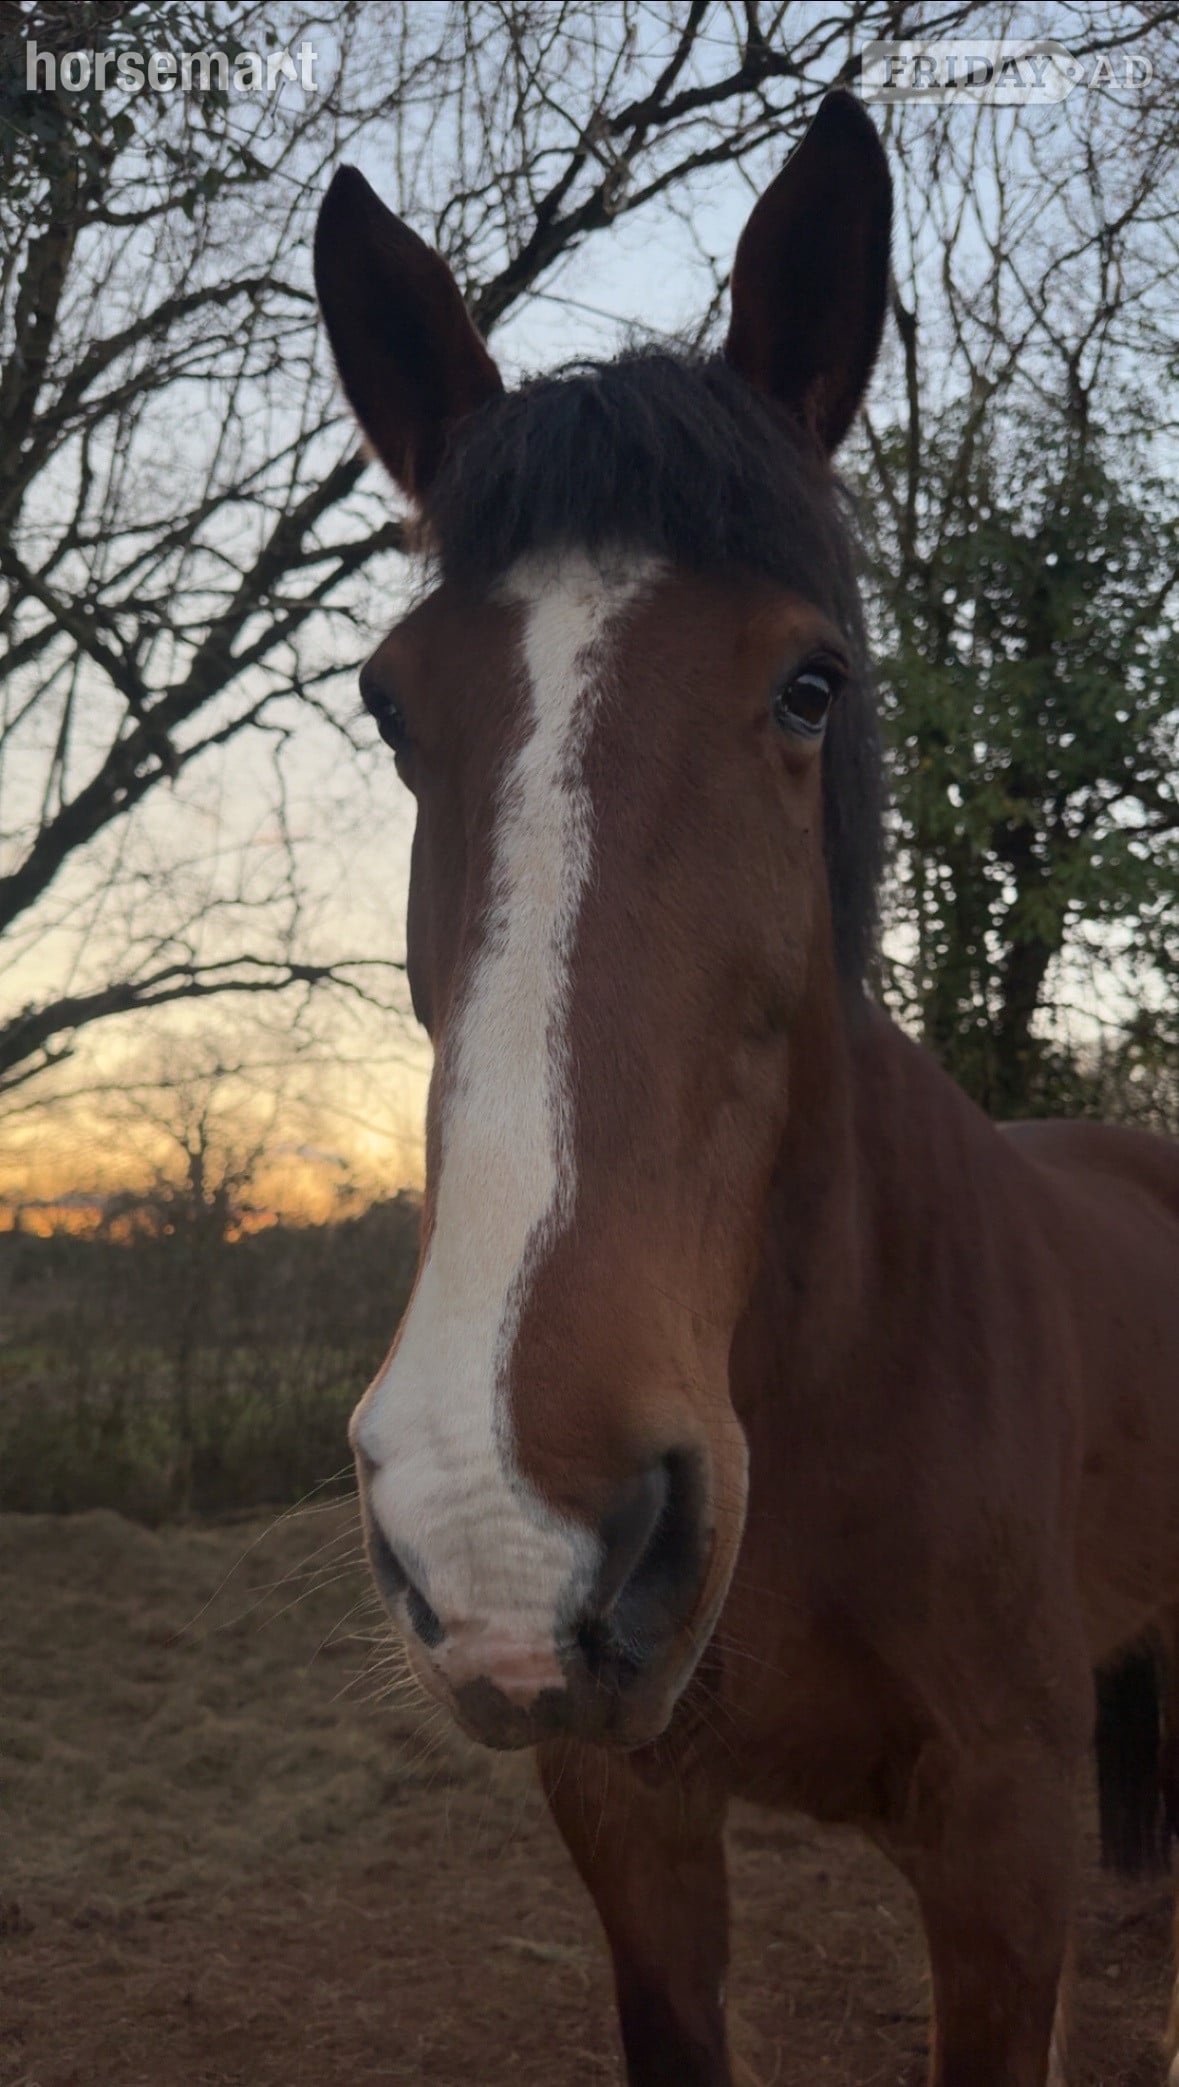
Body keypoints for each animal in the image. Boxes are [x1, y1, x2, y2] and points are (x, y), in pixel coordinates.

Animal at [313, 91, 1179, 2086]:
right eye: (391, 708)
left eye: (809, 682)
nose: (504, 1511)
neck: (830, 1360)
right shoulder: (628, 1821)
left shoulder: (1002, 1845)